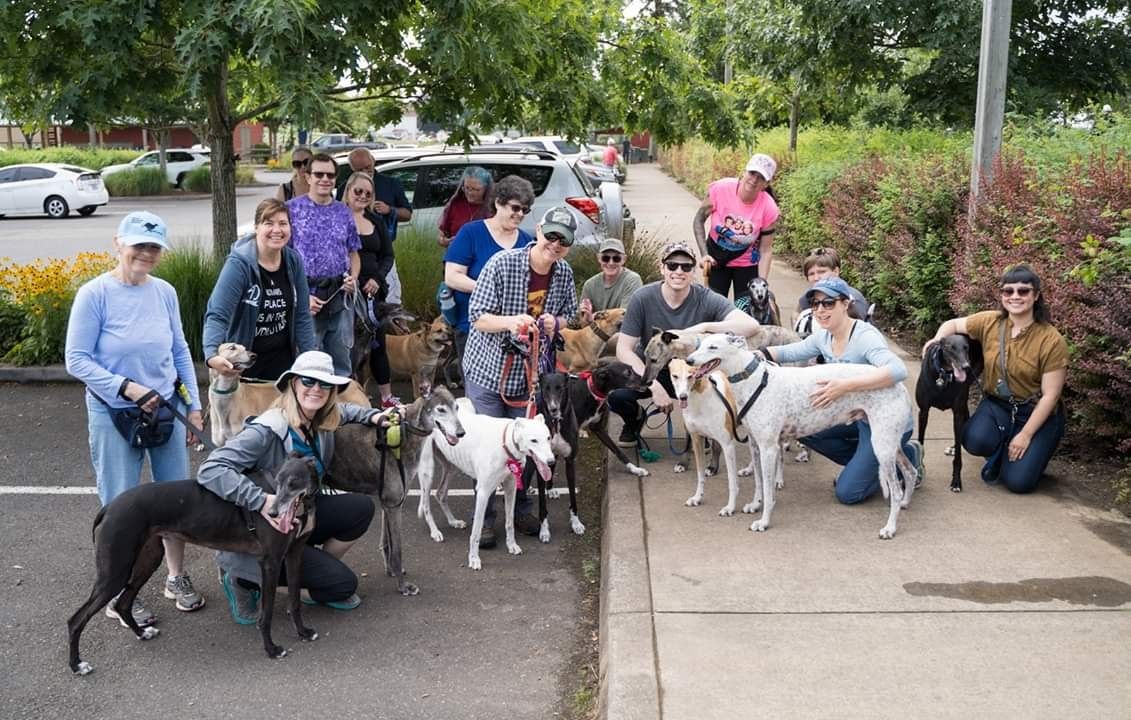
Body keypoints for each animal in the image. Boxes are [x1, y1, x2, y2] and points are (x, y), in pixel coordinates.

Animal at [683, 334, 913, 535]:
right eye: (700, 344)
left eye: (713, 347)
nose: (688, 360)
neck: (752, 380)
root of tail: (901, 386)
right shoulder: (755, 445)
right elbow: (758, 481)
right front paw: (755, 504)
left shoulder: (768, 448)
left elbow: (768, 488)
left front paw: (763, 522)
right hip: (890, 443)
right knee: (910, 471)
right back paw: (905, 502)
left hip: (881, 446)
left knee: (896, 489)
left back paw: (890, 528)